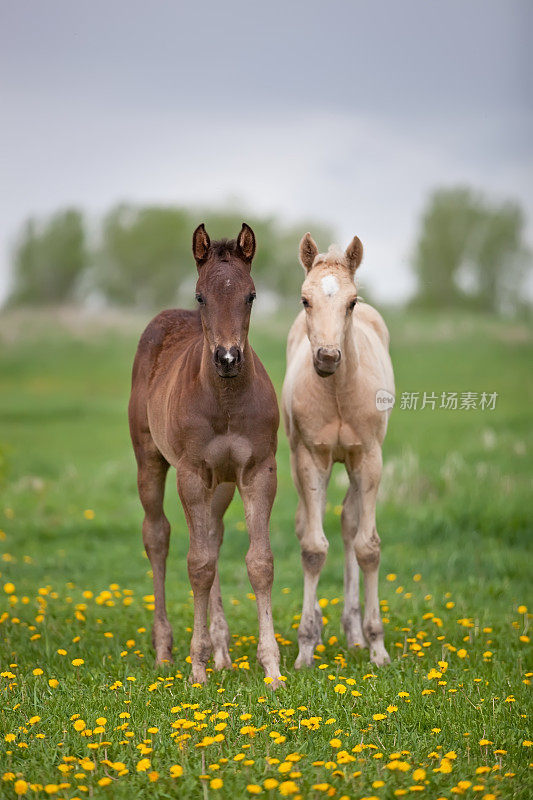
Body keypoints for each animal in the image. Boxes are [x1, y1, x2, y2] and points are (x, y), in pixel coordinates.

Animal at [128, 222, 280, 684]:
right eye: (201, 297)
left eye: (251, 296)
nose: (228, 357)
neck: (226, 401)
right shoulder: (192, 473)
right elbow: (198, 565)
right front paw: (196, 669)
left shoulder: (258, 471)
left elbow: (258, 562)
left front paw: (272, 669)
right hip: (149, 459)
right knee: (157, 536)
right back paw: (165, 651)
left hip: (222, 485)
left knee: (213, 535)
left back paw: (223, 652)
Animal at [280, 233, 392, 668]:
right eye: (305, 300)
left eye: (352, 302)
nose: (327, 357)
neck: (339, 393)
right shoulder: (311, 457)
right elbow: (313, 548)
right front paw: (305, 647)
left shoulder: (369, 458)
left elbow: (368, 547)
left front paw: (378, 647)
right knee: (307, 525)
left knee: (348, 523)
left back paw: (355, 633)